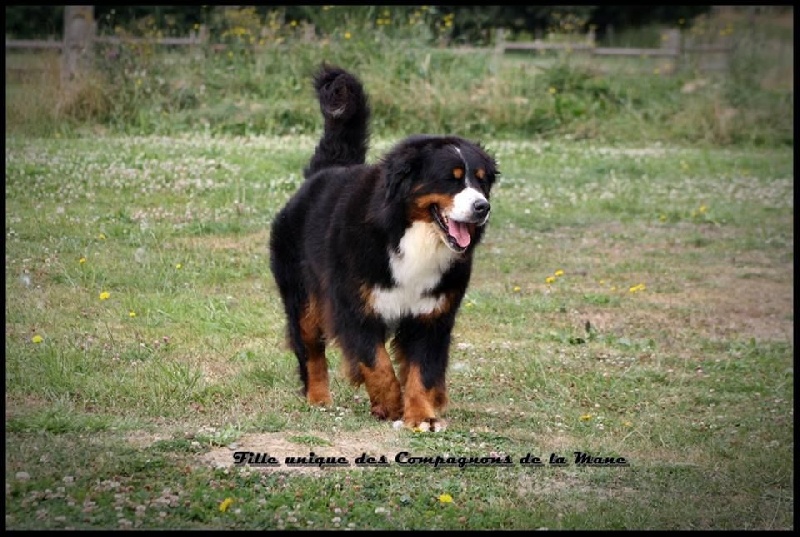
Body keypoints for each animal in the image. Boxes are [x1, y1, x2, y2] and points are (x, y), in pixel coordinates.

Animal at [272, 63, 496, 432]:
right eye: (451, 178)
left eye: (481, 180)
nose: (482, 207)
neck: (412, 237)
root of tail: (326, 171)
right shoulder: (355, 305)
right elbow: (376, 362)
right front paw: (390, 404)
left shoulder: (432, 313)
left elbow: (423, 369)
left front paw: (421, 416)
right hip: (302, 296)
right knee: (310, 349)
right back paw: (318, 398)